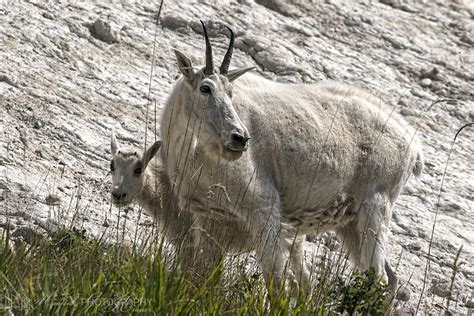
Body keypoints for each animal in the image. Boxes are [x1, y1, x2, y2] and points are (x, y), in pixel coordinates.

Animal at [159, 21, 422, 298]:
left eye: (231, 93)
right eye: (205, 88)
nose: (240, 138)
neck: (192, 153)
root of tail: (414, 145)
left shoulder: (263, 207)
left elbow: (276, 280)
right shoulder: (210, 217)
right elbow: (205, 275)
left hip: (376, 207)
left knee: (379, 277)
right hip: (350, 224)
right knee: (389, 278)